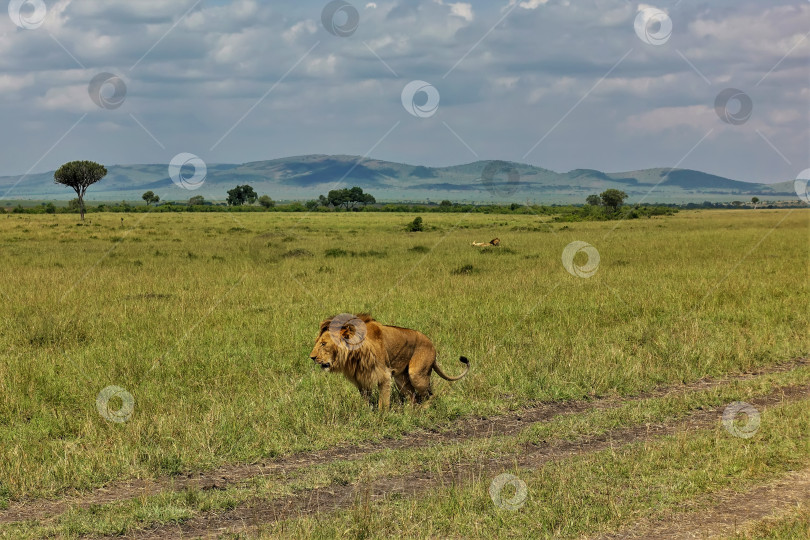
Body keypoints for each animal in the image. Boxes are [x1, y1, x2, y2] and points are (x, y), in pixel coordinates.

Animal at [310, 312, 474, 410]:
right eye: (318, 342)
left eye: (323, 343)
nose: (311, 357)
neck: (354, 353)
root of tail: (432, 345)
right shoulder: (361, 378)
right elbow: (366, 399)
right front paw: (365, 413)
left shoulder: (384, 375)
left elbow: (383, 401)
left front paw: (381, 417)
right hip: (401, 380)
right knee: (413, 397)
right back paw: (409, 411)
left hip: (417, 374)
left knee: (429, 395)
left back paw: (423, 410)